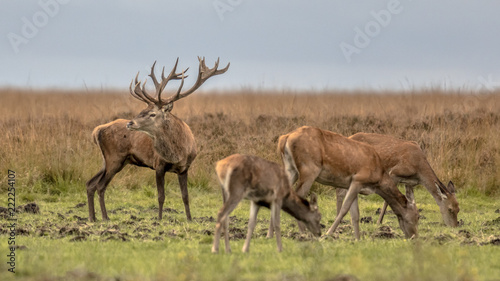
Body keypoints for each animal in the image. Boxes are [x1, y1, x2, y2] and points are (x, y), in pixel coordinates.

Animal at [278, 127, 418, 238]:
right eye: (416, 218)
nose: (414, 237)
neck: (378, 178)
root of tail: (285, 138)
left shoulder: (352, 185)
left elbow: (355, 214)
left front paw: (357, 239)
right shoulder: (358, 180)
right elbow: (345, 209)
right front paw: (327, 234)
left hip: (291, 169)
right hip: (309, 170)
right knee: (297, 197)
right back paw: (305, 234)